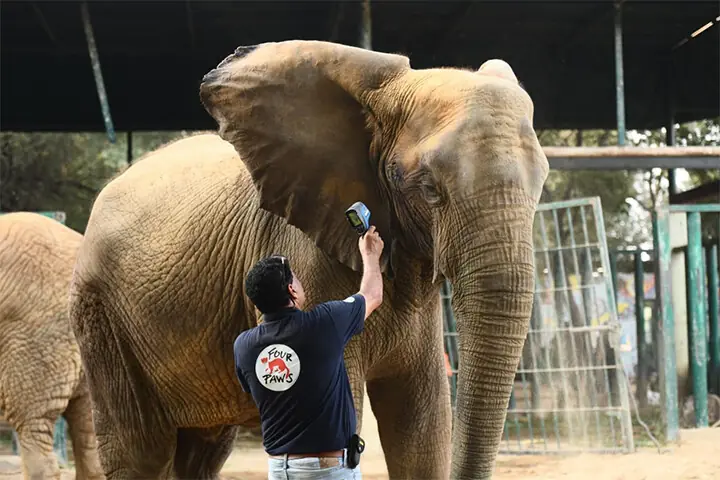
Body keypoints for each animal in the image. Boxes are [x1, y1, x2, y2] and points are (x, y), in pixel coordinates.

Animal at [68, 40, 548, 479]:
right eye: (428, 188)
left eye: (542, 182)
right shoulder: (307, 258)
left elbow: (422, 427)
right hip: (101, 317)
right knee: (139, 451)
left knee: (202, 451)